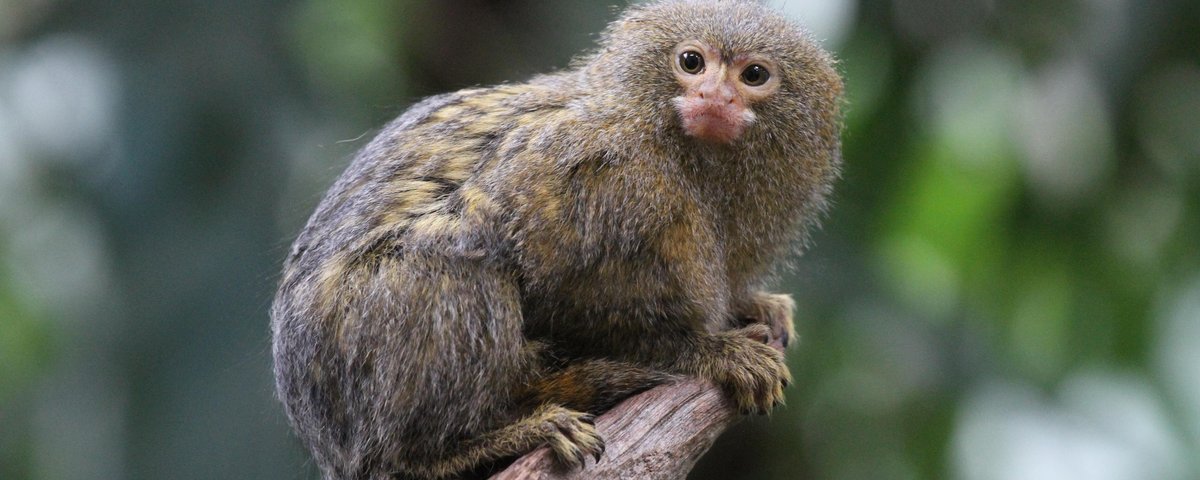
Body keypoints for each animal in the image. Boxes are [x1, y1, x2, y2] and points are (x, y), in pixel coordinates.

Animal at [270, 1, 844, 477]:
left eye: (754, 75)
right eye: (691, 62)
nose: (715, 97)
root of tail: (326, 439)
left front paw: (753, 304)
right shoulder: (595, 166)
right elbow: (550, 286)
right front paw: (706, 351)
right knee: (444, 264)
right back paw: (466, 447)